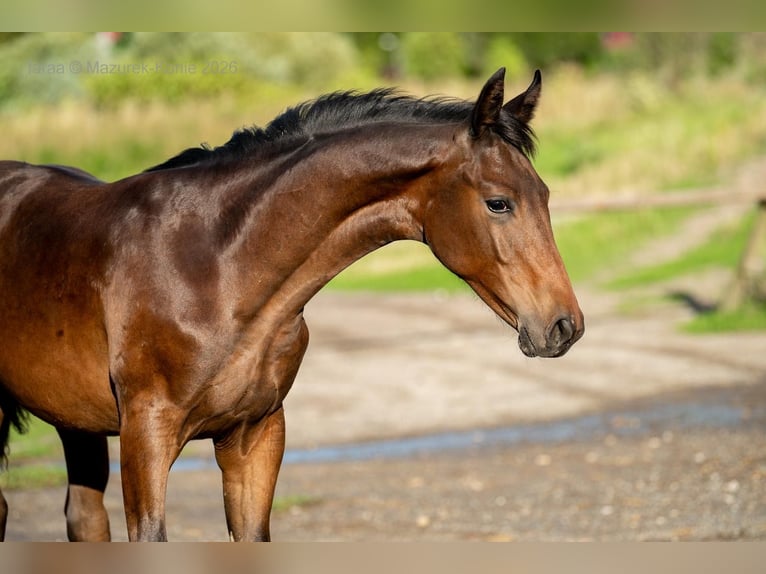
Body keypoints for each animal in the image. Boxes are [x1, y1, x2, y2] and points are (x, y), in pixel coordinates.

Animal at [0, 68, 583, 541]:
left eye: (546, 195)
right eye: (498, 202)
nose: (564, 326)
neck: (214, 267)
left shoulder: (255, 435)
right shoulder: (146, 434)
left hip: (75, 422)